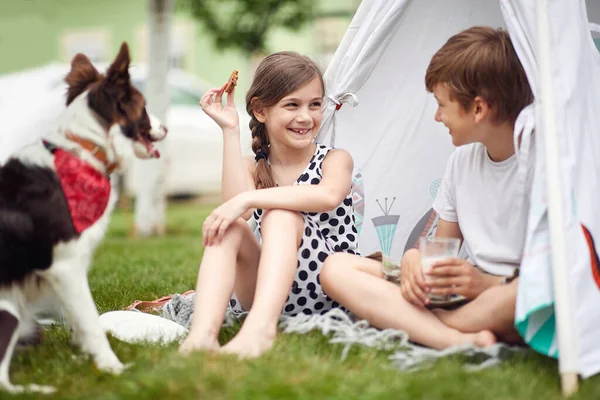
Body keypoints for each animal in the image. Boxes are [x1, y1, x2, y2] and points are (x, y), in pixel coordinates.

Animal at [0, 42, 166, 392]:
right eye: (144, 107)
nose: (165, 128)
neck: (85, 149)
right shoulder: (66, 266)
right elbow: (90, 321)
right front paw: (113, 368)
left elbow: (77, 320)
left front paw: (84, 359)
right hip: (9, 309)